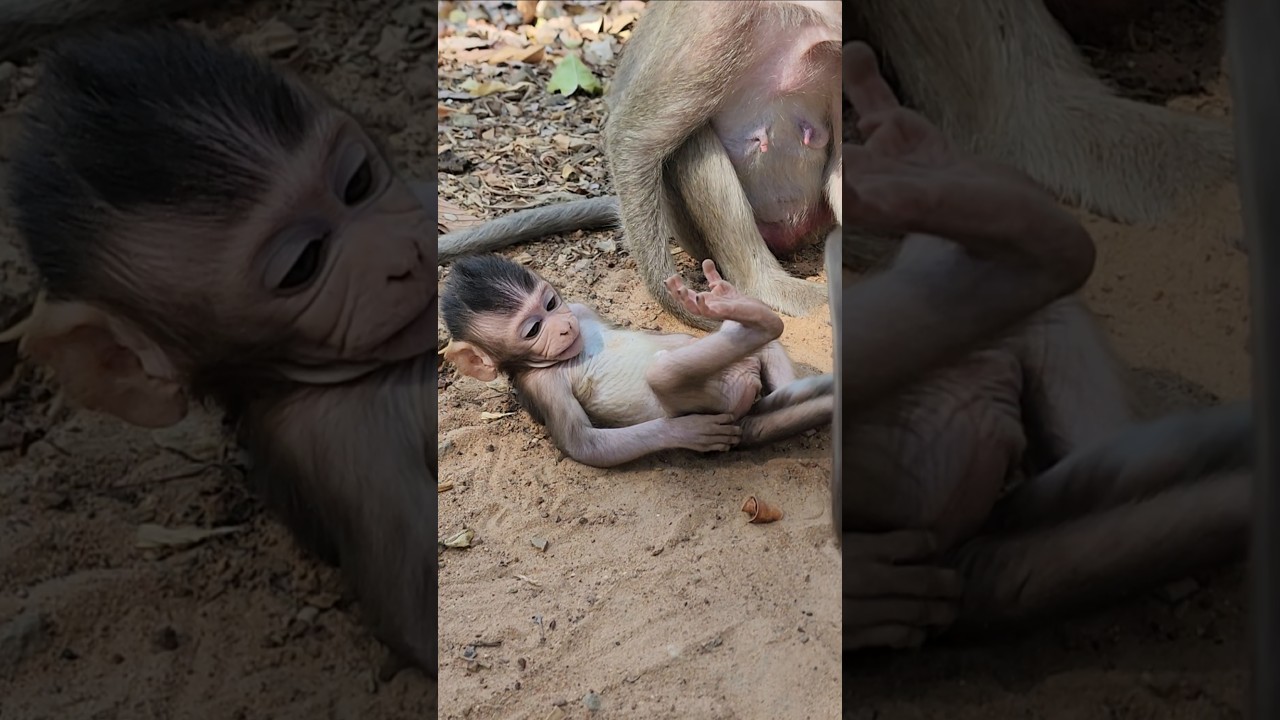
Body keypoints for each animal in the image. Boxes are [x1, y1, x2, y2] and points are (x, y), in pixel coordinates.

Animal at [439, 254, 833, 468]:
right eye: (533, 329)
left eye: (550, 304)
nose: (564, 328)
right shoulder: (541, 387)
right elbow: (586, 445)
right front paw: (686, 433)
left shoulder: (580, 308)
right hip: (722, 395)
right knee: (666, 371)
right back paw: (757, 323)